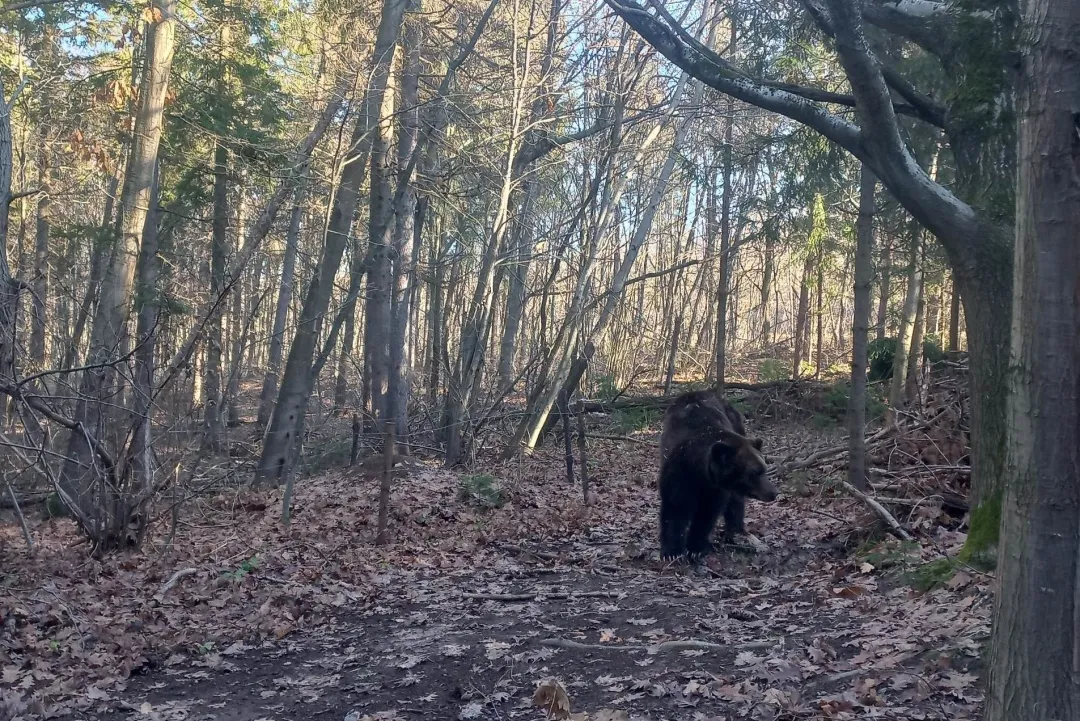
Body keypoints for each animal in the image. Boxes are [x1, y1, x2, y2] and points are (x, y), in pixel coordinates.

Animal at [656, 390, 777, 561]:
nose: (773, 493)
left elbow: (708, 512)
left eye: (764, 469)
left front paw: (695, 548)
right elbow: (675, 506)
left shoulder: (715, 488)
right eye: (755, 472)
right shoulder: (679, 474)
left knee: (735, 501)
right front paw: (671, 551)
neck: (700, 471)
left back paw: (735, 530)